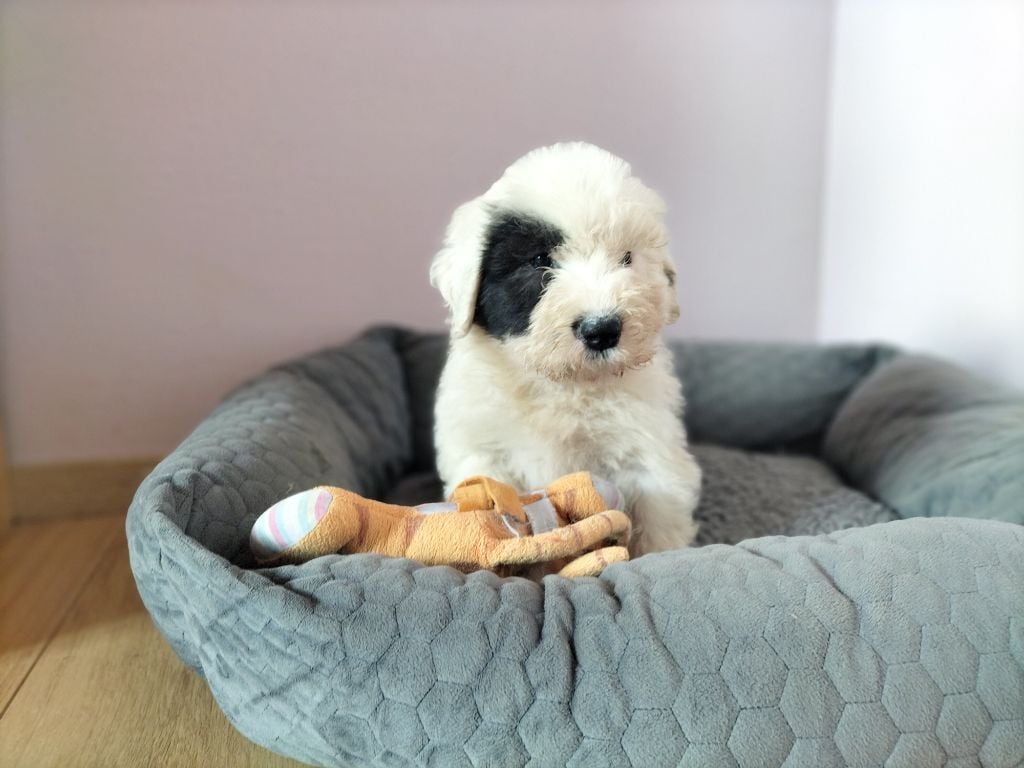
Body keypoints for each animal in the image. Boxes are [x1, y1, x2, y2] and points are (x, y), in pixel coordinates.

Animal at [430, 142, 701, 555]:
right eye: (540, 260)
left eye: (627, 258)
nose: (602, 329)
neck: (562, 384)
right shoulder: (481, 448)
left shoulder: (649, 451)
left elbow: (659, 521)